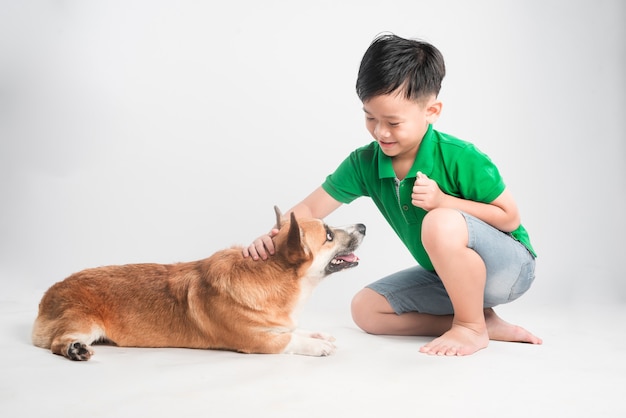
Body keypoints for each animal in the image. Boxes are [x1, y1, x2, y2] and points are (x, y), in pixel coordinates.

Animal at [33, 207, 366, 360]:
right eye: (328, 235)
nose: (364, 225)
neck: (274, 276)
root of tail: (48, 294)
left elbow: (297, 329)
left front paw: (319, 334)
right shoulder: (259, 342)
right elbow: (291, 340)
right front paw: (318, 345)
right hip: (85, 323)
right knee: (57, 342)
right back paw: (75, 350)